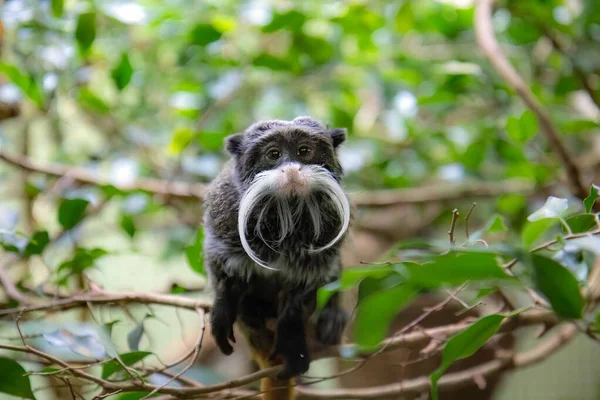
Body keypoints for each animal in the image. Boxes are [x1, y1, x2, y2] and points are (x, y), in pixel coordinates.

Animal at [204, 116, 350, 382]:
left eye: (304, 151)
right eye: (274, 154)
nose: (291, 169)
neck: (285, 213)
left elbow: (305, 287)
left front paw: (291, 339)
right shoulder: (224, 216)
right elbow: (223, 266)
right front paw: (223, 308)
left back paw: (331, 319)